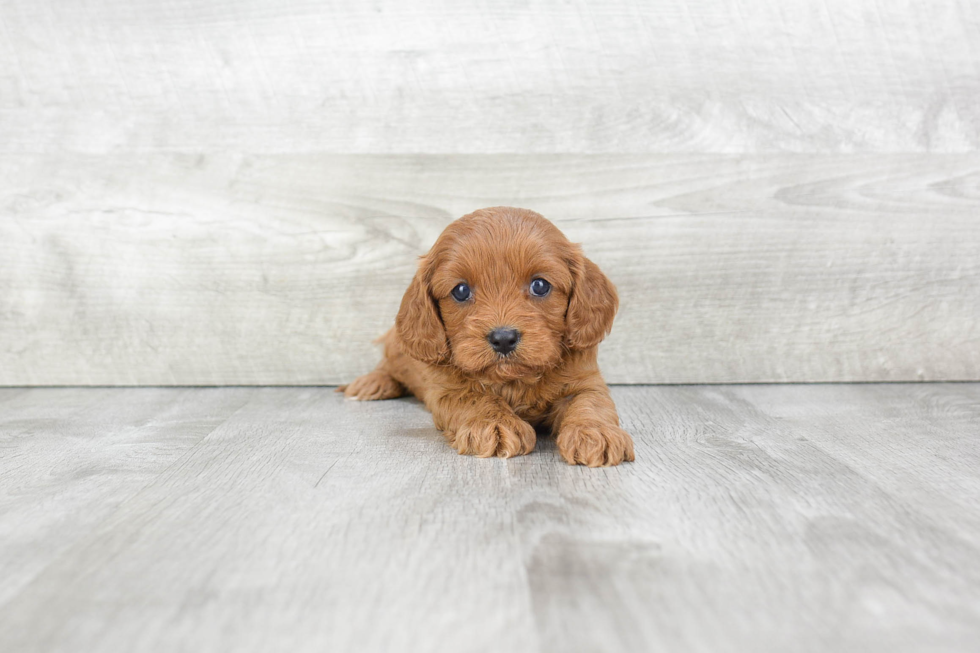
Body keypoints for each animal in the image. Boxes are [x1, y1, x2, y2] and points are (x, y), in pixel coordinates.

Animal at [340, 206, 636, 466]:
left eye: (540, 285)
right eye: (460, 291)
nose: (503, 338)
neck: (514, 381)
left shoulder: (585, 380)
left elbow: (590, 403)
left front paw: (595, 433)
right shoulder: (447, 389)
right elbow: (475, 398)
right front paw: (495, 424)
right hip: (397, 346)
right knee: (387, 364)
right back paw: (371, 383)